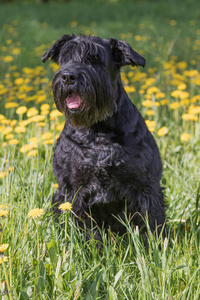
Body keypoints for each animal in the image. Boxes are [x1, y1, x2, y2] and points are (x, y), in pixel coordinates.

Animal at [42, 35, 166, 240]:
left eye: (95, 58)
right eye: (65, 58)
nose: (68, 77)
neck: (98, 131)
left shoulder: (145, 187)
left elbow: (152, 224)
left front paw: (155, 246)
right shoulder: (72, 189)